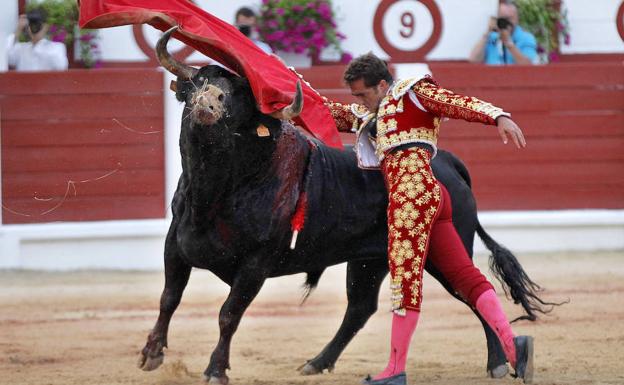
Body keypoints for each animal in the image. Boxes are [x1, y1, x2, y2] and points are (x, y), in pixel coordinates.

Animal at [139, 29, 552, 384]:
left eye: (239, 96)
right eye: (198, 82)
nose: (208, 103)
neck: (213, 193)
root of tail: (447, 161)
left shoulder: (255, 264)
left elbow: (229, 314)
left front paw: (215, 370)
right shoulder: (175, 245)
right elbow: (168, 298)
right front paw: (151, 354)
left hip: (442, 248)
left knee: (471, 290)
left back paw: (500, 362)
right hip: (370, 260)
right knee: (360, 308)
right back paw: (318, 362)